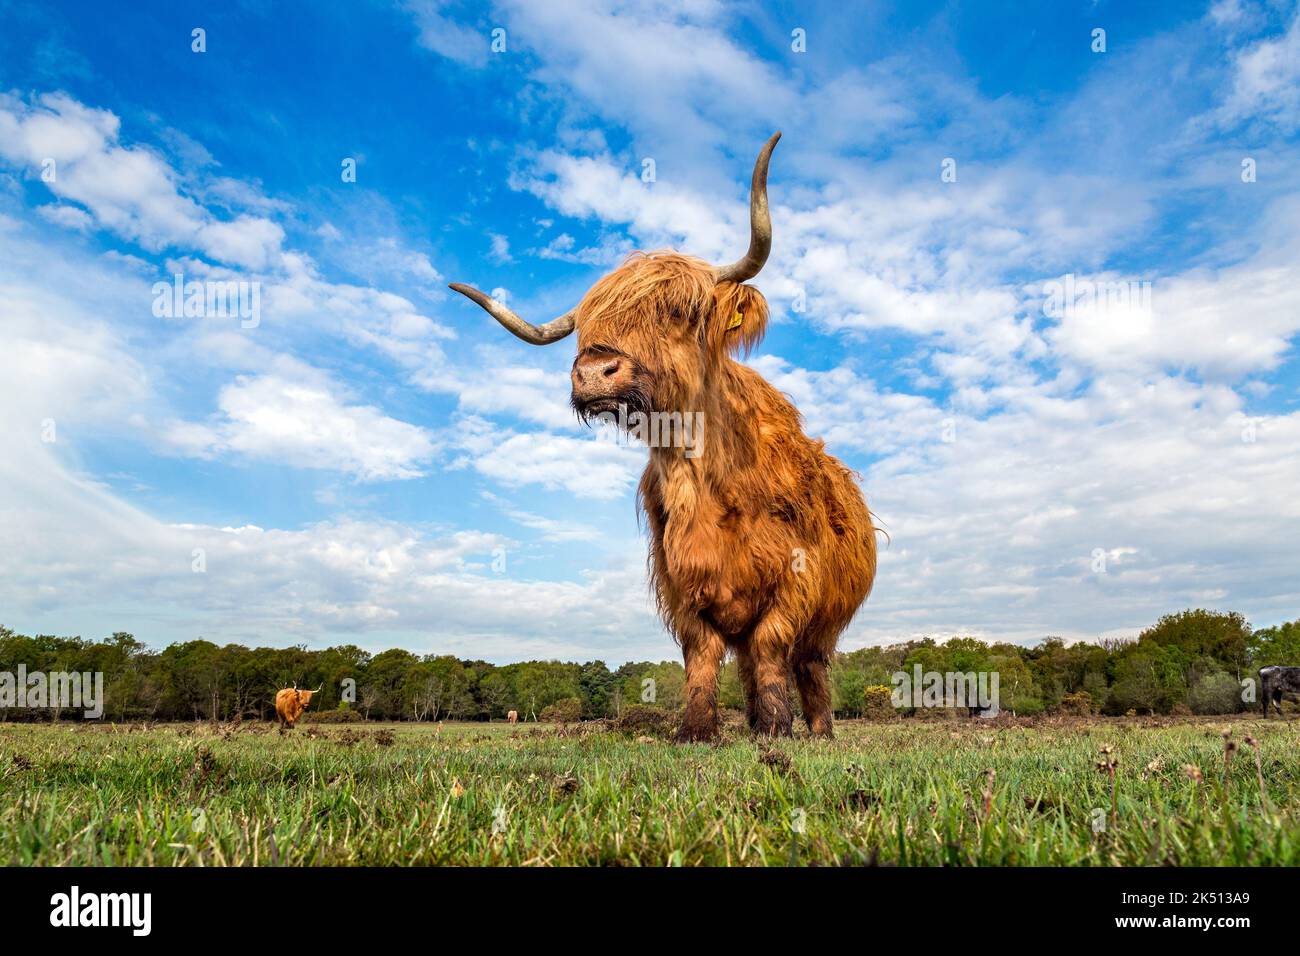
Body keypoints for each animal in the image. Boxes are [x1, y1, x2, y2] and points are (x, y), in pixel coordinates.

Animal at [452, 134, 878, 743]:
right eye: (585, 327)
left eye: (678, 311)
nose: (594, 372)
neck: (702, 477)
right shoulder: (680, 584)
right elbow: (703, 652)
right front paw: (699, 729)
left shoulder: (795, 580)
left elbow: (773, 644)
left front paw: (777, 729)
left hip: (827, 621)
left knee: (807, 662)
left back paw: (816, 729)